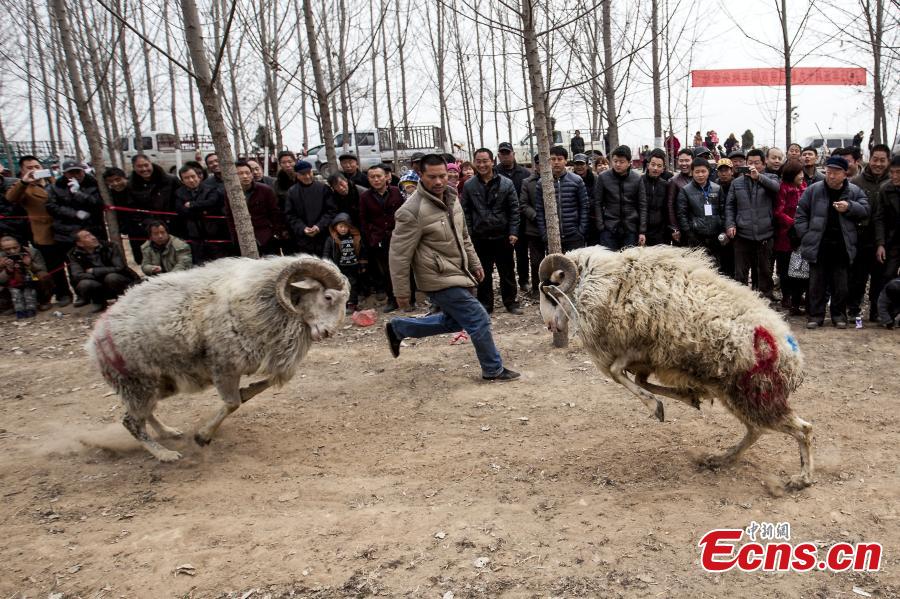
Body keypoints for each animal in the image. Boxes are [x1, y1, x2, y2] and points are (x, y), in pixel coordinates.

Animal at [86, 255, 349, 462]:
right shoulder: (223, 367)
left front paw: (247, 391)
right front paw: (202, 436)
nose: (328, 333)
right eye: (328, 297)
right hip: (136, 382)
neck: (264, 301)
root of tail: (95, 337)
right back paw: (165, 454)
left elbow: (263, 385)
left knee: (144, 414)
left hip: (160, 383)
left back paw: (168, 432)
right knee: (130, 421)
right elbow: (232, 403)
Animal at [538, 245, 813, 490]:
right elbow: (639, 381)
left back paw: (801, 479)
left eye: (551, 295)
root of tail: (793, 356)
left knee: (803, 429)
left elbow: (619, 374)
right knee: (756, 430)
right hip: (736, 395)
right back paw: (721, 459)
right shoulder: (647, 360)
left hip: (756, 394)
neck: (602, 283)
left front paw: (657, 406)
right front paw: (687, 397)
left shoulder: (638, 348)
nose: (550, 326)